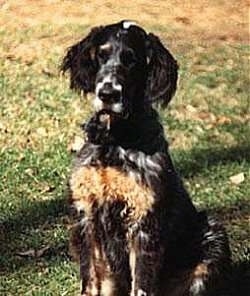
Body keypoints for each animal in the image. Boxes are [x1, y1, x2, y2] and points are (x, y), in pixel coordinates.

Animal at [61, 20, 231, 296]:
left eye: (131, 60)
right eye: (101, 54)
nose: (107, 94)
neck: (113, 142)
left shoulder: (144, 225)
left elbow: (141, 284)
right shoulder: (86, 217)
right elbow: (91, 281)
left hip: (213, 235)